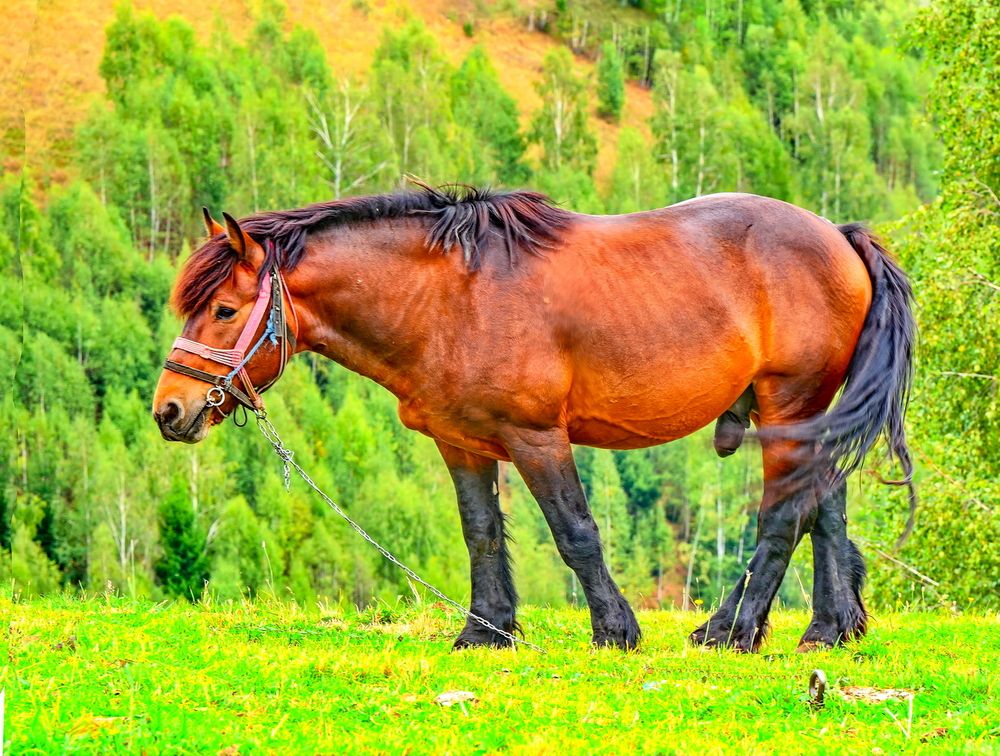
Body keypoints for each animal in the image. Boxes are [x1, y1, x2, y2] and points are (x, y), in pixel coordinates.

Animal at [153, 183, 915, 652]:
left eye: (223, 309)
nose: (169, 410)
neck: (450, 298)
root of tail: (839, 235)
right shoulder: (461, 444)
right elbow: (482, 534)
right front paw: (486, 630)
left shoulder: (538, 438)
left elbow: (576, 533)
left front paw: (615, 630)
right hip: (799, 414)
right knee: (825, 507)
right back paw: (824, 629)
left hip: (789, 404)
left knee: (784, 516)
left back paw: (737, 630)